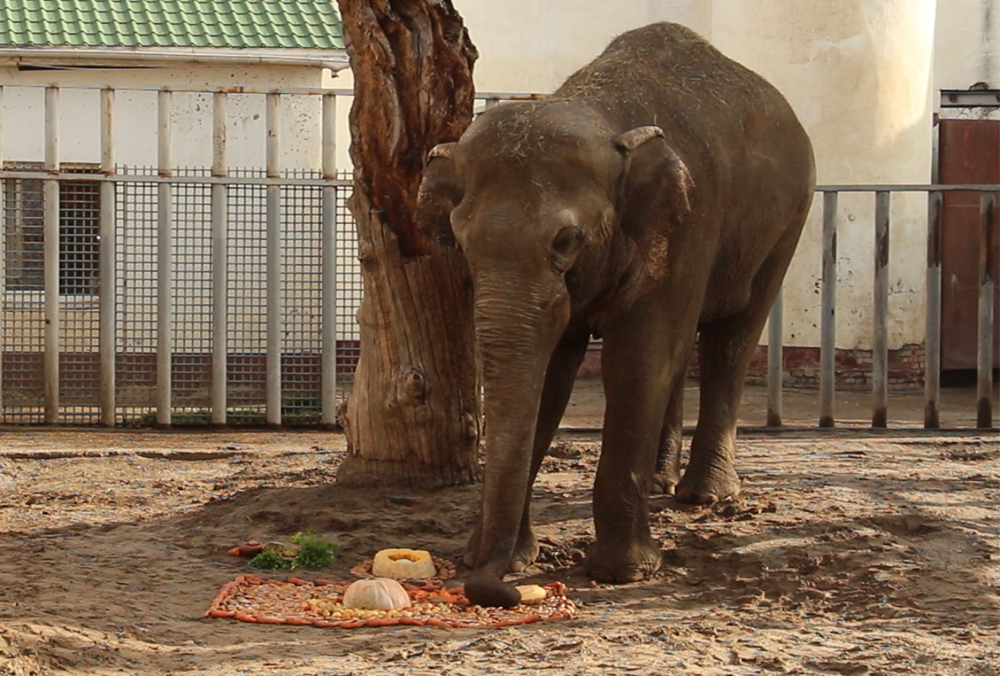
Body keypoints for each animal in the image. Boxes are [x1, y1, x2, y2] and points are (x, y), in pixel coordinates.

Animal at [414, 23, 812, 608]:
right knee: (684, 352)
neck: (600, 110)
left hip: (787, 221)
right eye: (462, 241)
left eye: (566, 240)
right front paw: (508, 557)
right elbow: (552, 372)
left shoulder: (688, 223)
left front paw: (624, 572)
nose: (489, 586)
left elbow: (638, 360)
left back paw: (704, 497)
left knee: (731, 339)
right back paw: (661, 482)